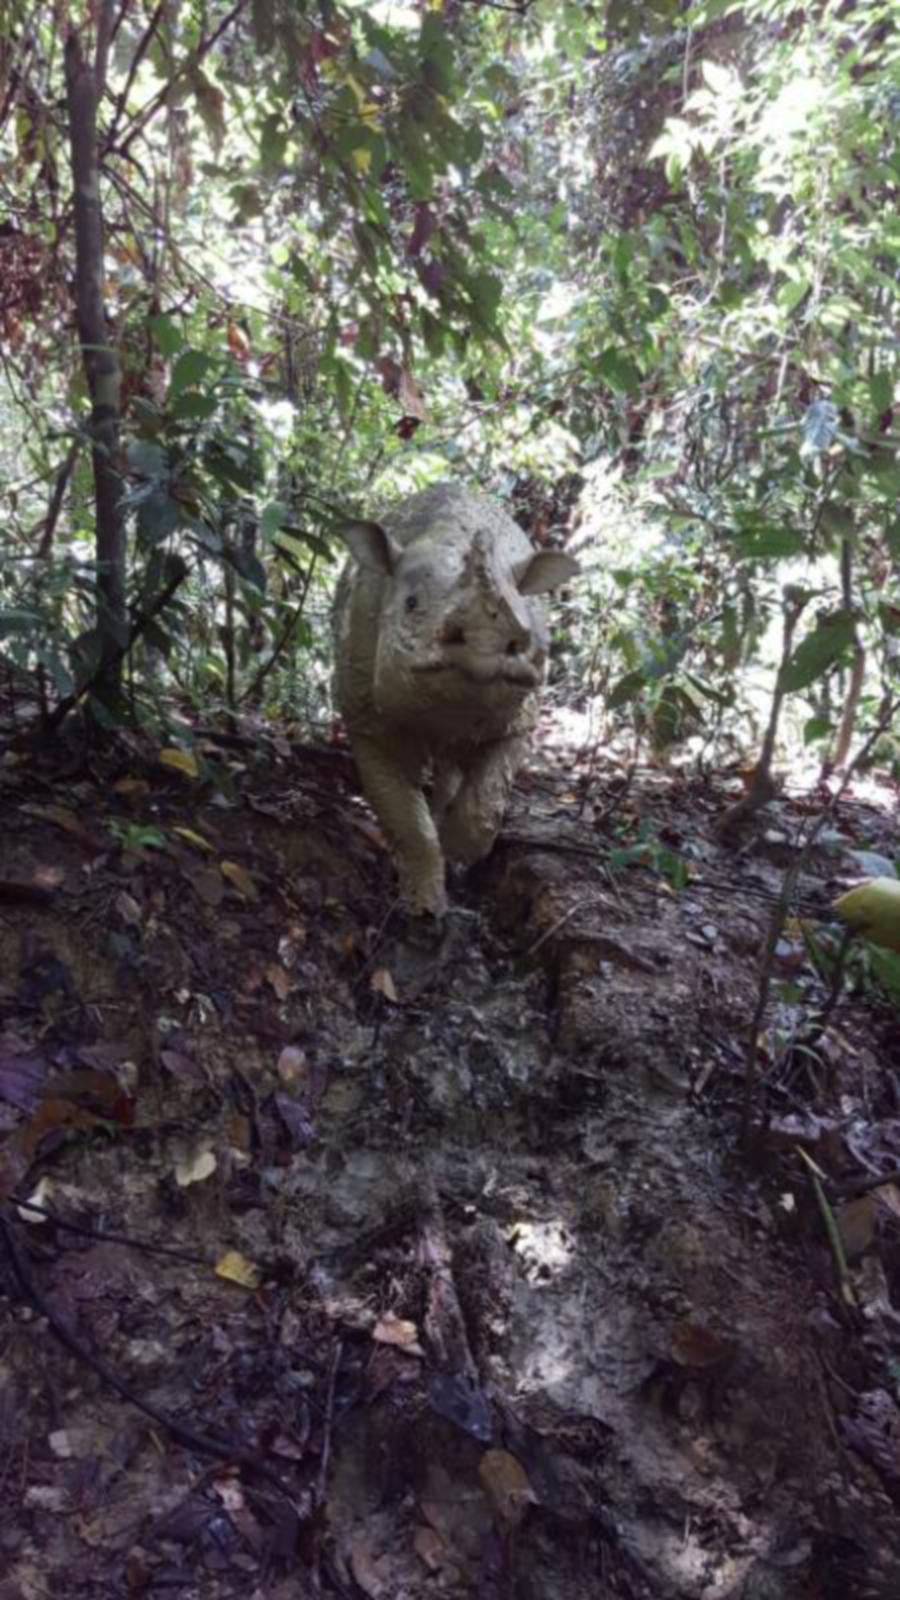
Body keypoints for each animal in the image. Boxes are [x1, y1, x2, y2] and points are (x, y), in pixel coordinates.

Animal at [333, 480, 576, 921]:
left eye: (524, 624)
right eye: (411, 605)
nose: (486, 645)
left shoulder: (519, 718)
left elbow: (487, 797)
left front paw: (459, 855)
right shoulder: (366, 718)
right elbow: (403, 816)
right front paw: (424, 908)